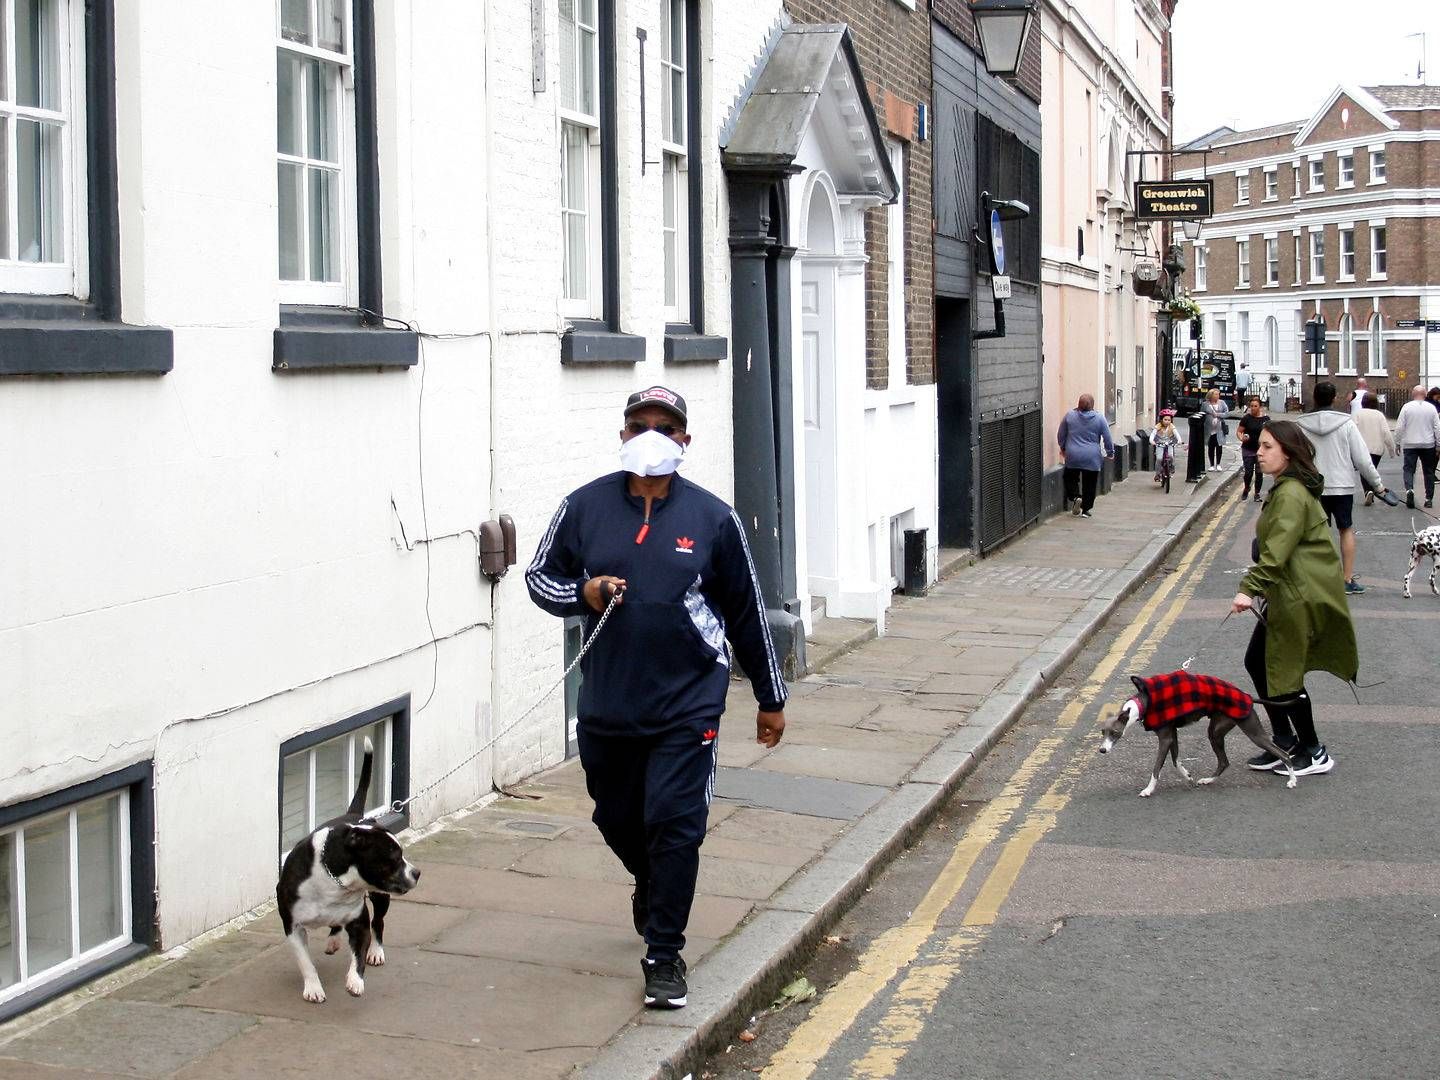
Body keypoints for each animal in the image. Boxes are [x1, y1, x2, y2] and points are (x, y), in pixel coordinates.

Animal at [275, 743, 420, 1002]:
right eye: (395, 858)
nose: (417, 873)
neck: (335, 882)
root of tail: (355, 815)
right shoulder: (292, 925)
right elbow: (305, 962)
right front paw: (313, 988)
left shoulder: (359, 922)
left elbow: (359, 955)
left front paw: (355, 981)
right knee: (337, 925)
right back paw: (333, 940)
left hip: (380, 898)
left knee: (378, 922)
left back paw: (376, 951)